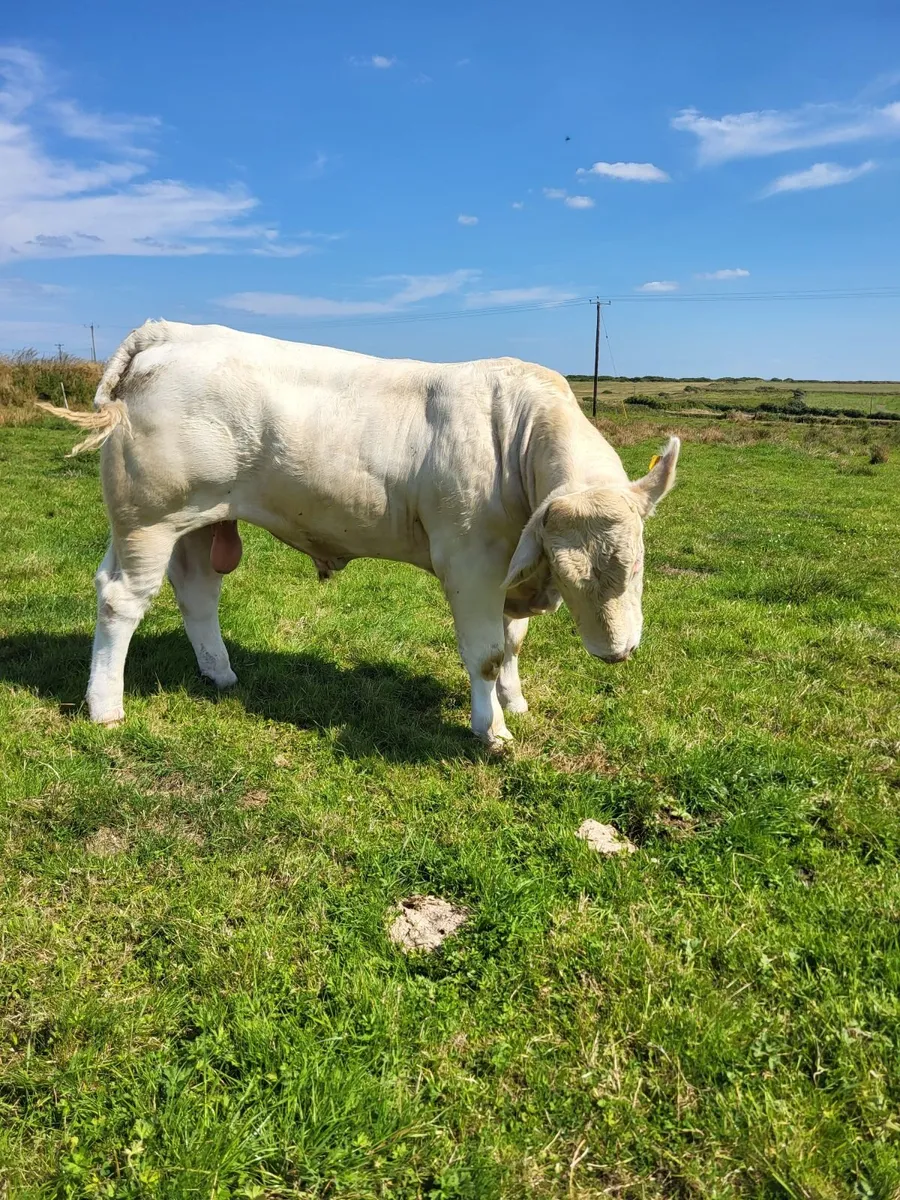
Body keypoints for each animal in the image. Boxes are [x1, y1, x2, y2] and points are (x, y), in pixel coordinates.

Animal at [39, 320, 679, 749]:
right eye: (570, 573)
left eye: (637, 565)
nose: (617, 652)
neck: (515, 436)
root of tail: (168, 331)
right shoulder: (472, 563)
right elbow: (488, 653)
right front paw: (491, 729)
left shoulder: (511, 568)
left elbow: (514, 642)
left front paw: (514, 702)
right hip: (149, 517)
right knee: (122, 600)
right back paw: (105, 706)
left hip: (195, 520)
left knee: (195, 592)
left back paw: (220, 674)